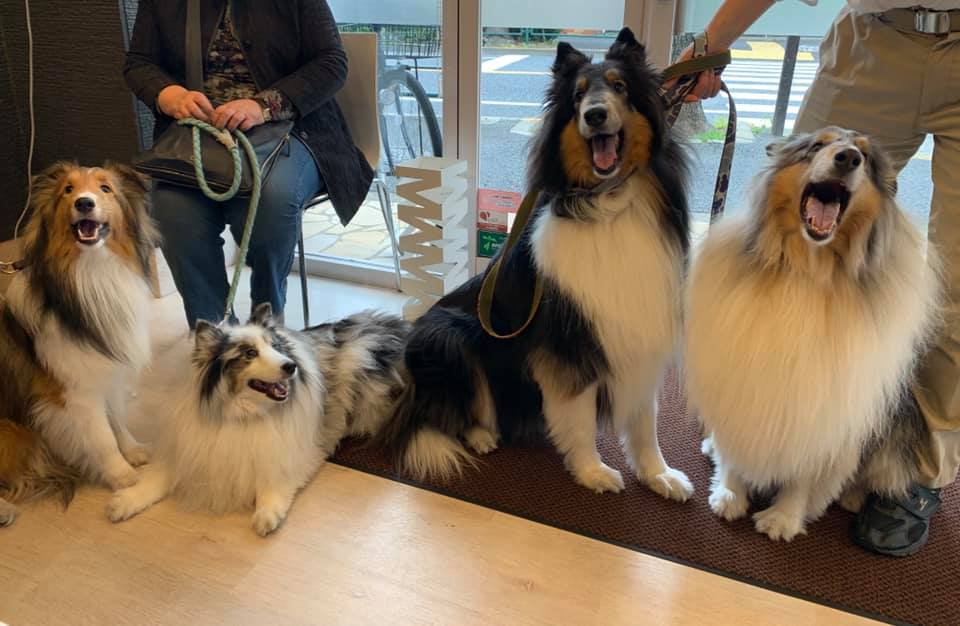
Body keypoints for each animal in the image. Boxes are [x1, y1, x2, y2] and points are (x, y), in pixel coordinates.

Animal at [0, 161, 158, 527]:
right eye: (68, 191)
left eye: (105, 188)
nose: (84, 203)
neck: (92, 271)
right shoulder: (73, 390)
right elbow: (101, 436)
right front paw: (121, 476)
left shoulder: (104, 369)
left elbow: (116, 420)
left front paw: (133, 451)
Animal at [106, 304, 408, 536]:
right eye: (249, 353)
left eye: (276, 347)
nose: (291, 366)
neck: (242, 412)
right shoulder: (189, 450)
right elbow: (157, 478)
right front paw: (125, 501)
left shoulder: (287, 450)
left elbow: (272, 477)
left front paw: (267, 514)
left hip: (362, 362)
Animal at [378, 28, 693, 500]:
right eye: (577, 96)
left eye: (620, 86)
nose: (595, 115)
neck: (607, 202)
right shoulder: (565, 345)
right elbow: (580, 416)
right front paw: (592, 472)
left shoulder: (639, 334)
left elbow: (645, 419)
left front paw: (660, 475)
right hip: (449, 334)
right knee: (449, 412)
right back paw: (481, 435)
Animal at [683, 127, 941, 541]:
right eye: (818, 145)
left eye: (865, 156)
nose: (848, 157)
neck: (806, 269)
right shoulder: (739, 374)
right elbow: (735, 448)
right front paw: (729, 495)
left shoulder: (825, 404)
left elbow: (805, 473)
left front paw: (783, 519)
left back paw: (853, 497)